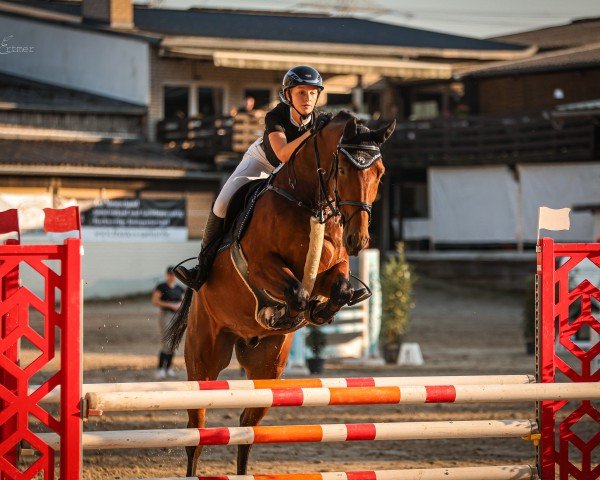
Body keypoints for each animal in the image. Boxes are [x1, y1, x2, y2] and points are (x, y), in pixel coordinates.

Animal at [164, 112, 396, 476]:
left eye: (380, 173)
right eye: (343, 170)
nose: (358, 240)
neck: (309, 202)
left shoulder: (334, 267)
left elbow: (339, 288)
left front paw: (319, 311)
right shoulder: (262, 266)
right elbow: (296, 292)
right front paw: (287, 312)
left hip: (267, 369)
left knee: (247, 427)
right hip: (204, 358)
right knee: (196, 432)